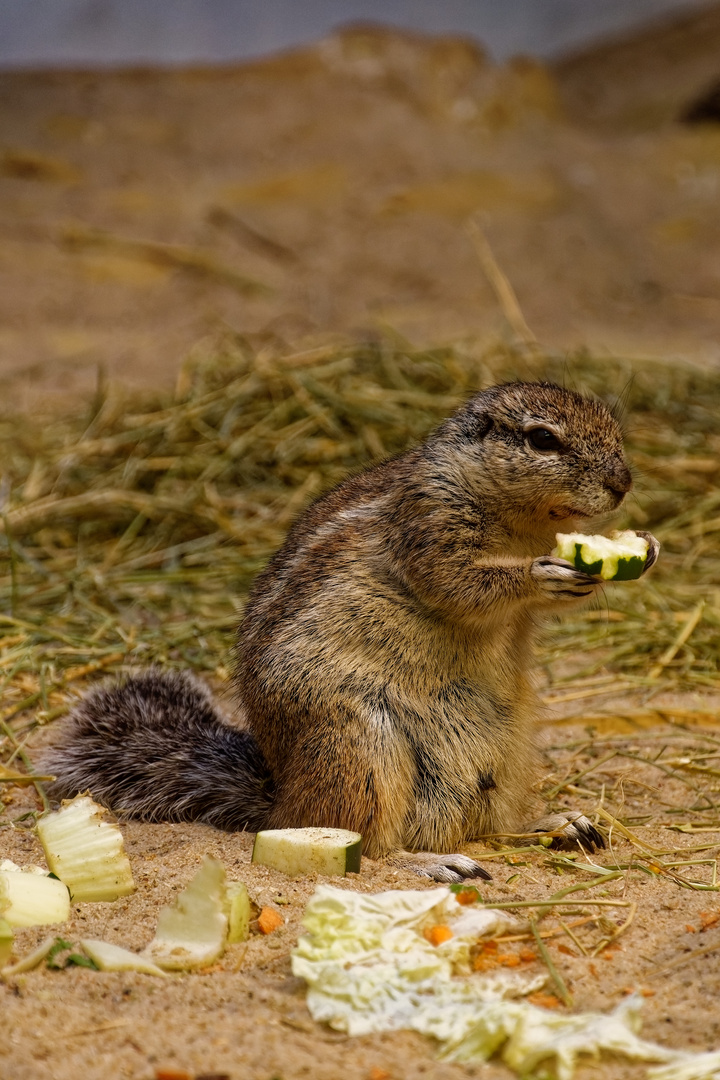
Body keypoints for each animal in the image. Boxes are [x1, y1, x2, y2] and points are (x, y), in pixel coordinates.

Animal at [40, 384, 660, 881]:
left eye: (611, 425)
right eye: (542, 440)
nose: (624, 483)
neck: (522, 522)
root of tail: (282, 804)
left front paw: (644, 549)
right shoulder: (427, 527)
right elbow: (459, 584)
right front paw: (542, 574)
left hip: (511, 747)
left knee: (486, 823)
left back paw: (556, 823)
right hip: (359, 745)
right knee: (373, 847)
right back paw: (433, 861)